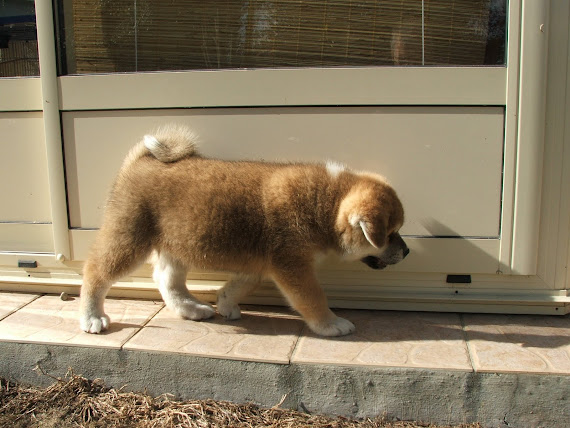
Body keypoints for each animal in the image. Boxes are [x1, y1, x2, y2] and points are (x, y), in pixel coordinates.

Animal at [79, 125, 409, 336]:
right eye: (390, 234)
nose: (406, 251)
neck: (324, 202)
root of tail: (140, 161)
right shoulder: (292, 267)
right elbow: (313, 298)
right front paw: (330, 324)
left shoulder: (261, 264)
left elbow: (236, 286)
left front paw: (225, 303)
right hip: (129, 239)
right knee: (95, 272)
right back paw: (92, 316)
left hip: (178, 242)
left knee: (165, 279)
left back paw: (191, 308)